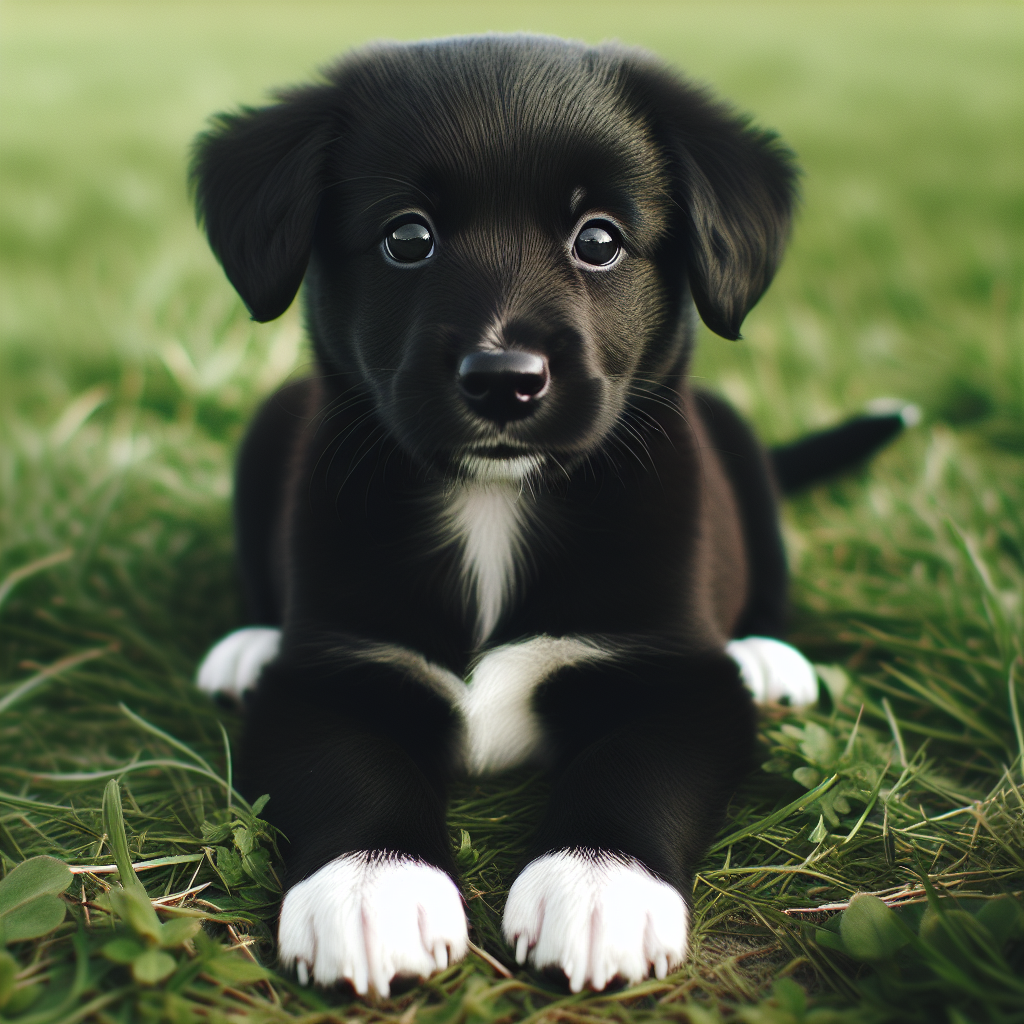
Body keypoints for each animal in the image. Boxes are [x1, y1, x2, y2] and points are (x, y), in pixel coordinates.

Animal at [192, 36, 905, 995]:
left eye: (598, 240)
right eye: (407, 237)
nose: (504, 379)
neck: (494, 502)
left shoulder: (675, 675)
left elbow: (634, 768)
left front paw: (598, 890)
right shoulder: (329, 672)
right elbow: (352, 771)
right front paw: (372, 893)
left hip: (738, 449)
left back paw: (766, 653)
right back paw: (246, 643)